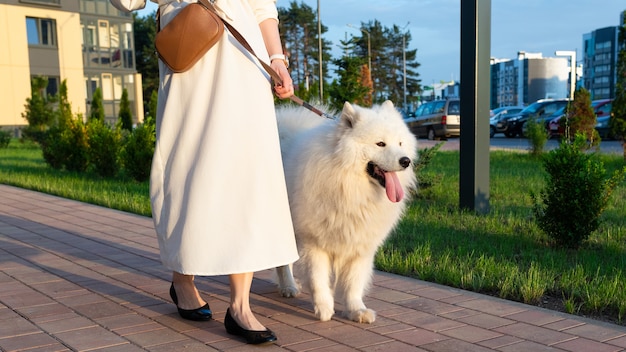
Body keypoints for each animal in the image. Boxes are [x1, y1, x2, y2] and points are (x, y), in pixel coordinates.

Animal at [272, 100, 414, 324]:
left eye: (400, 143)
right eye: (380, 144)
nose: (406, 161)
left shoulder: (359, 243)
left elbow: (353, 282)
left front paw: (356, 310)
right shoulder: (313, 241)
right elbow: (317, 278)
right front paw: (323, 308)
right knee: (283, 263)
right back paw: (289, 287)